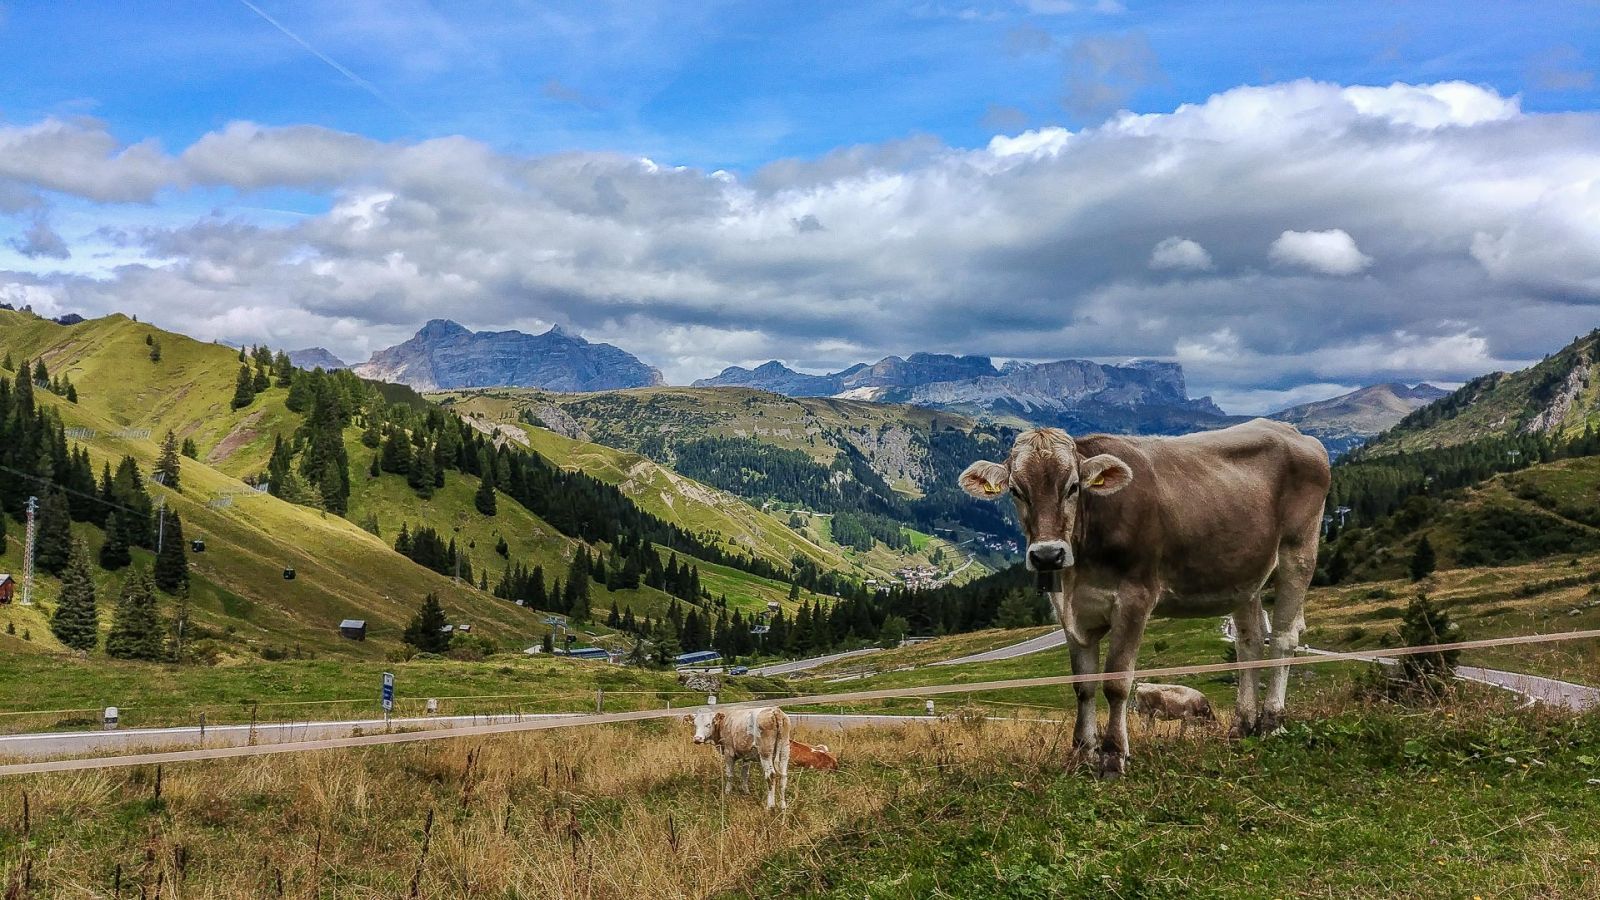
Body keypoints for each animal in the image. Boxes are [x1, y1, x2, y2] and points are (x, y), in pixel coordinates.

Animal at [966, 416, 1331, 775]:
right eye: (1016, 490)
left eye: (1073, 486)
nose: (1047, 555)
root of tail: (1292, 432)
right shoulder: (1070, 611)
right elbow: (1083, 685)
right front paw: (1081, 756)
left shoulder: (1134, 598)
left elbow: (1116, 682)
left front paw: (1113, 757)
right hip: (1245, 572)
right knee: (1250, 642)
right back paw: (1242, 726)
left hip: (1299, 550)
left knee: (1283, 636)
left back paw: (1271, 722)